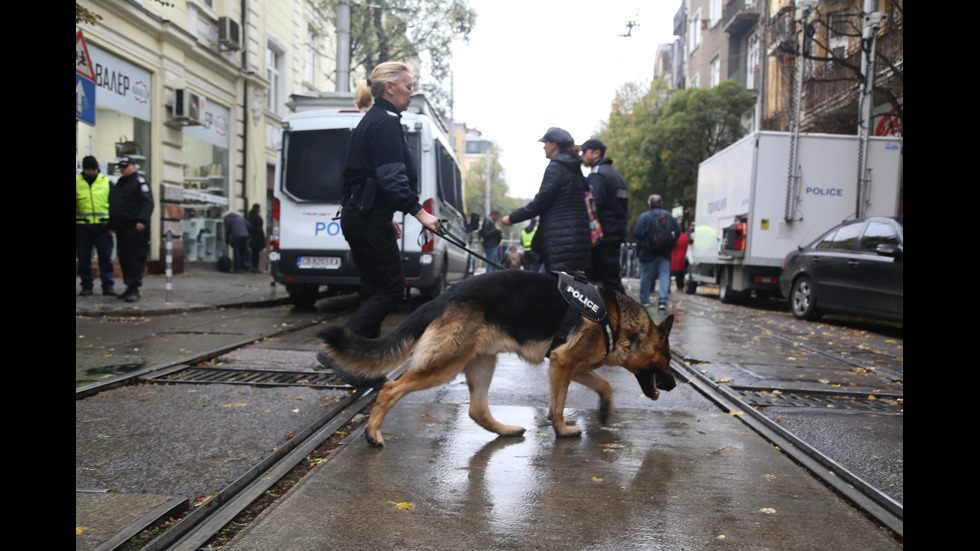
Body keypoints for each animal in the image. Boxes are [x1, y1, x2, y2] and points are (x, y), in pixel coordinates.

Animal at [320, 270, 672, 446]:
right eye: (668, 360)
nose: (672, 385)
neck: (617, 320)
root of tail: (440, 299)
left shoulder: (573, 366)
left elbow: (604, 385)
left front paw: (605, 410)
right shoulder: (564, 363)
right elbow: (559, 406)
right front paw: (562, 431)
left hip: (482, 364)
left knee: (477, 410)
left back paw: (506, 430)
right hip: (444, 366)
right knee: (391, 389)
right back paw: (373, 433)